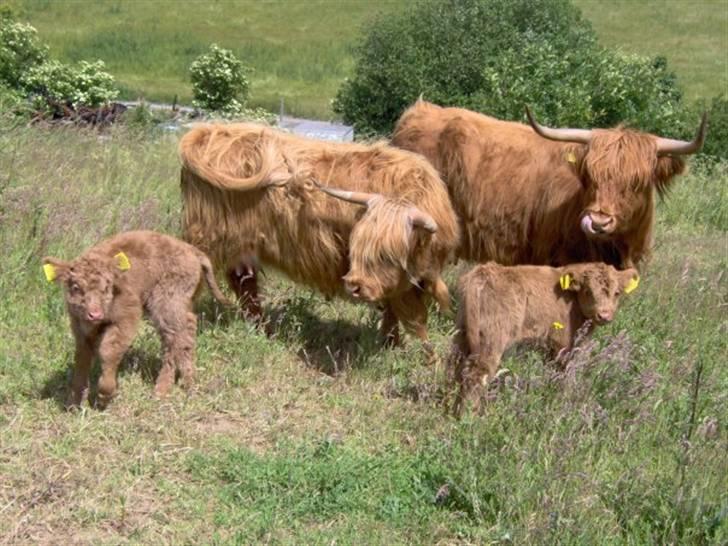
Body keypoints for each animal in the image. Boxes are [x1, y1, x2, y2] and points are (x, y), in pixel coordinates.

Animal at [43, 231, 231, 408]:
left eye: (107, 287)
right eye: (76, 287)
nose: (95, 314)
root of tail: (192, 250)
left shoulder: (127, 316)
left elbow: (109, 350)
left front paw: (104, 396)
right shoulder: (80, 328)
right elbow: (82, 358)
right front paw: (74, 404)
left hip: (168, 302)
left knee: (174, 337)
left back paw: (163, 390)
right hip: (181, 302)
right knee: (183, 331)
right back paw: (185, 381)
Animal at [179, 123, 460, 345]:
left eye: (388, 254)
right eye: (357, 246)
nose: (355, 285)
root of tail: (210, 130)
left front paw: (393, 344)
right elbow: (397, 311)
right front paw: (394, 345)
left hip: (243, 246)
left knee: (245, 284)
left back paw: (263, 331)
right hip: (208, 236)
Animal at [449, 261, 639, 416]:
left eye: (616, 293)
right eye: (588, 291)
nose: (604, 315)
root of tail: (482, 272)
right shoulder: (564, 345)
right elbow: (564, 375)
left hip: (462, 334)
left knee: (454, 367)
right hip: (491, 340)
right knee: (476, 375)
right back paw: (469, 417)